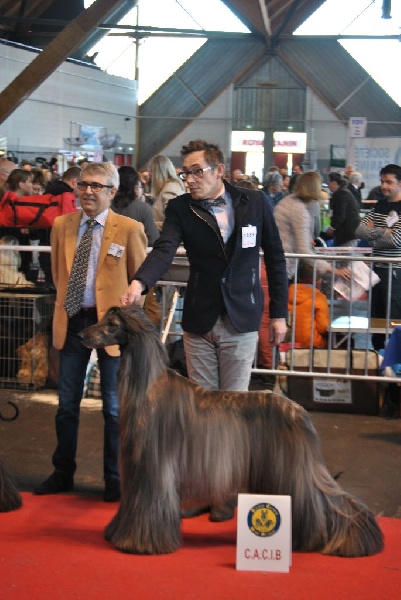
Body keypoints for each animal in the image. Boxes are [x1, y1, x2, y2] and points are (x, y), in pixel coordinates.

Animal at [81, 306, 383, 557]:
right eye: (102, 319)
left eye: (112, 324)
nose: (82, 334)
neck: (147, 385)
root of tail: (301, 413)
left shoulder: (153, 468)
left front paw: (138, 543)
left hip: (295, 469)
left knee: (326, 501)